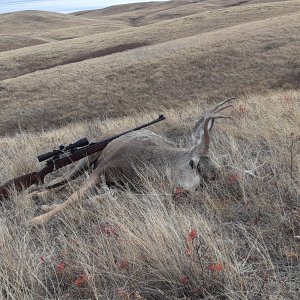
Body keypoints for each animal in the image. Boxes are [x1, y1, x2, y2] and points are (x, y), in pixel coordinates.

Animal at [30, 98, 237, 225]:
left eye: (215, 173)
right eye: (193, 164)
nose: (200, 187)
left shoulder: (128, 188)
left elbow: (93, 199)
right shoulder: (103, 168)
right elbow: (74, 198)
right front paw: (38, 219)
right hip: (86, 160)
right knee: (62, 180)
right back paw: (36, 194)